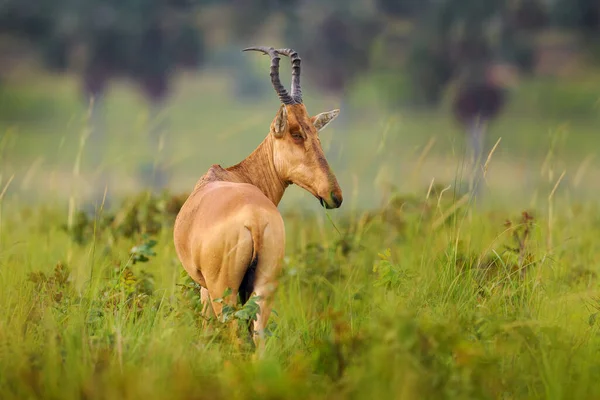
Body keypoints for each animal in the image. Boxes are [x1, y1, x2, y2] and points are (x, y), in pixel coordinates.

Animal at [173, 47, 342, 352]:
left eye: (314, 134)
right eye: (298, 132)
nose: (334, 195)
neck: (230, 174)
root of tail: (254, 218)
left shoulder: (204, 287)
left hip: (223, 292)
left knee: (234, 334)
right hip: (265, 285)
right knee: (259, 336)